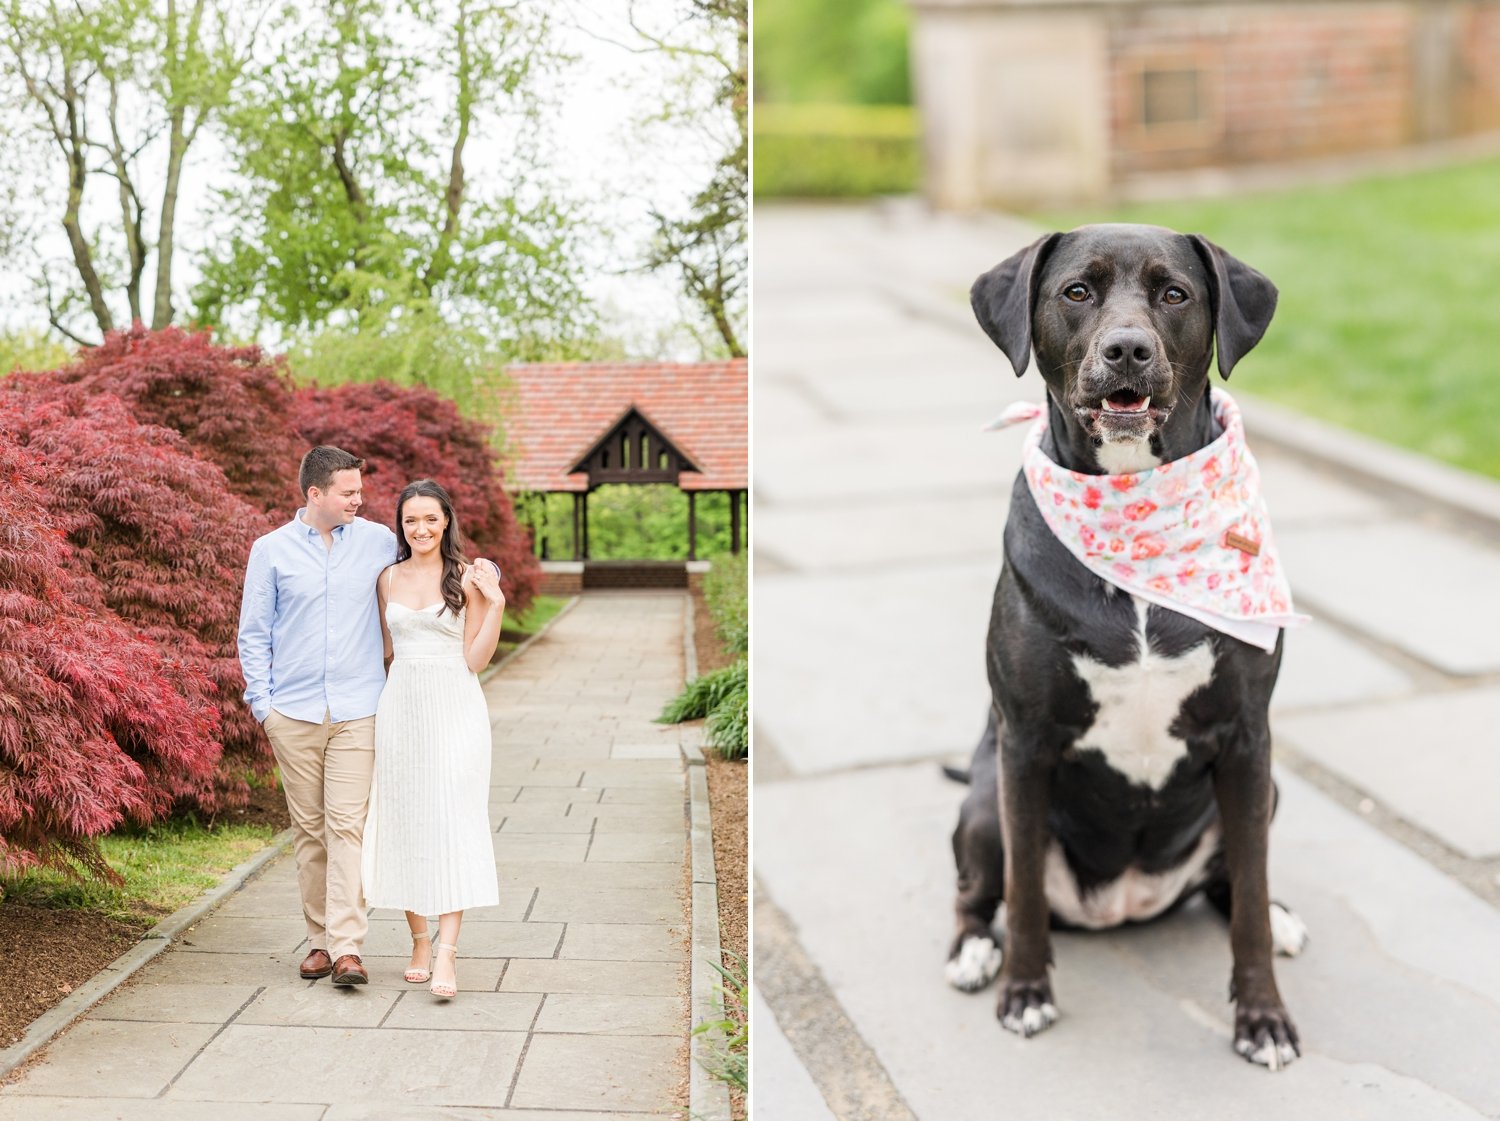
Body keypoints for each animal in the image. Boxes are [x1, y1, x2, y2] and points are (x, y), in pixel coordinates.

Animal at [954, 222, 1308, 1068]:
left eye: (1174, 293)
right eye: (1077, 291)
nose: (1126, 350)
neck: (1136, 502)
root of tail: (1120, 903)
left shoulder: (1248, 740)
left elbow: (1248, 900)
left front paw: (1263, 1016)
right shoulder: (1025, 744)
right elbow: (1023, 894)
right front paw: (1025, 991)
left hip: (1268, 789)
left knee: (1232, 881)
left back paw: (1279, 917)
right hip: (983, 799)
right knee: (979, 893)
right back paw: (974, 953)